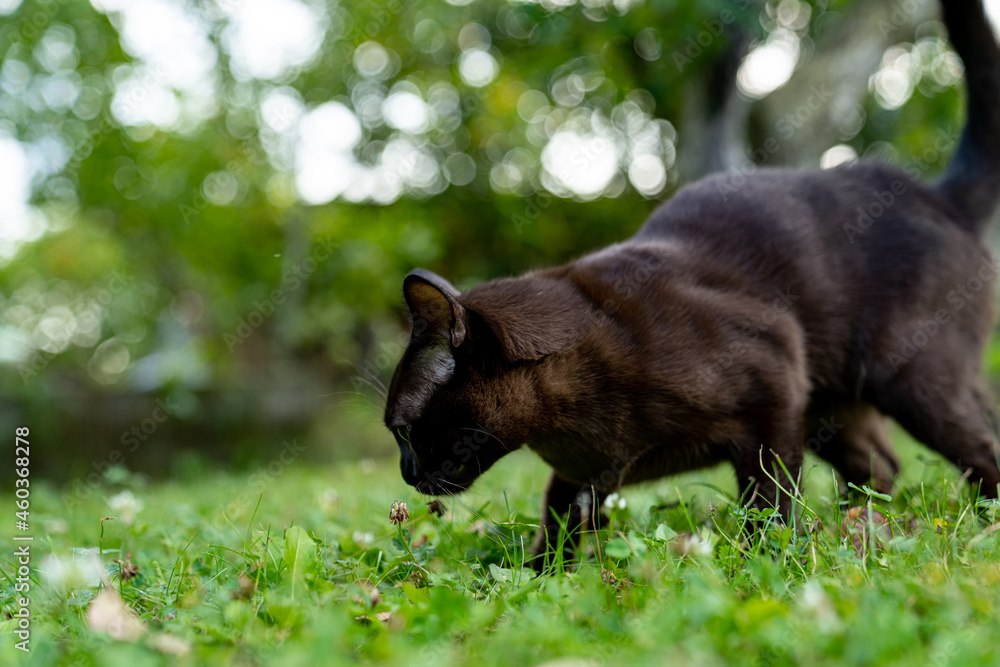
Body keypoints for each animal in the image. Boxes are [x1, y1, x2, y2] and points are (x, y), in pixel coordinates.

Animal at [382, 0, 1000, 568]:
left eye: (404, 431)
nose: (405, 474)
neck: (571, 422)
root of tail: (936, 196)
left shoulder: (772, 393)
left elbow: (770, 506)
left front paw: (763, 566)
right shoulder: (584, 477)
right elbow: (554, 534)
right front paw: (532, 583)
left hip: (912, 383)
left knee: (982, 449)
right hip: (833, 411)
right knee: (881, 469)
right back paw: (863, 532)